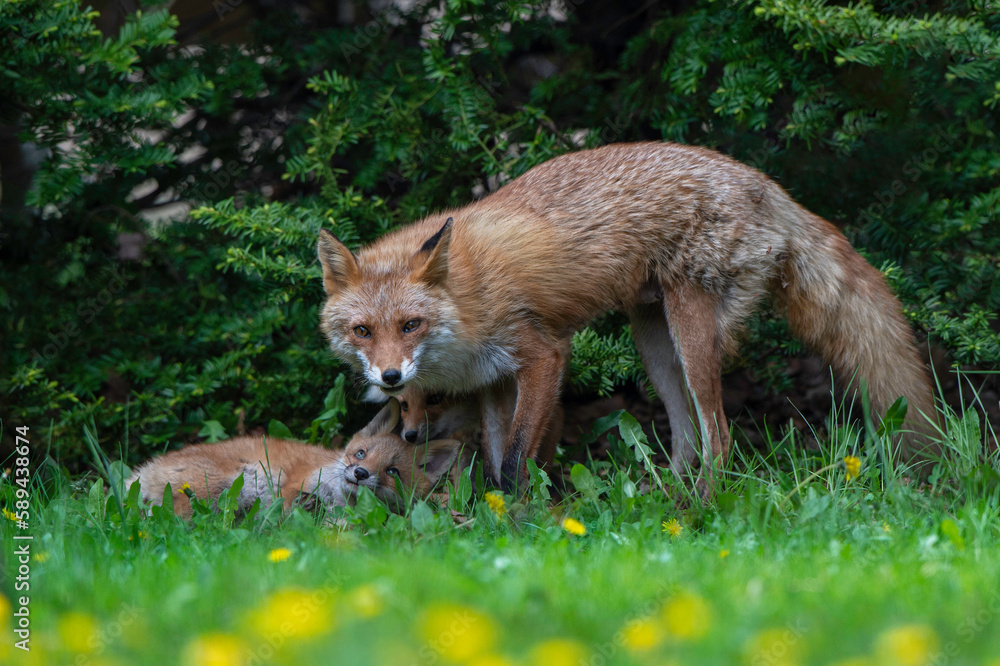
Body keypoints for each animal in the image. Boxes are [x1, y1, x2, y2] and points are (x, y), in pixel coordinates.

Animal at [127, 396, 462, 516]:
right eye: (361, 454)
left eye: (392, 472)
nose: (360, 473)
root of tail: (140, 472)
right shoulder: (290, 489)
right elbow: (289, 508)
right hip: (233, 483)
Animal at [318, 141, 936, 492]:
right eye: (362, 331)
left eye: (411, 325)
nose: (390, 377)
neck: (466, 301)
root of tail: (764, 182)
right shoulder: (492, 381)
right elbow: (493, 461)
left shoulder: (542, 354)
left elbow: (515, 463)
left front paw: (518, 524)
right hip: (654, 345)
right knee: (687, 437)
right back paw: (667, 500)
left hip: (692, 329)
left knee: (720, 435)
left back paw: (703, 508)